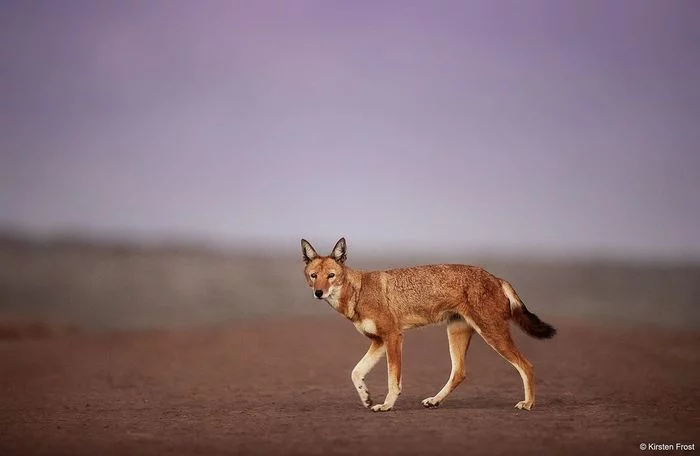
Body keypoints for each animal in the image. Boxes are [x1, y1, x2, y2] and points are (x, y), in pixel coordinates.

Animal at [300, 239, 556, 414]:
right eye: (313, 276)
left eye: (331, 275)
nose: (318, 292)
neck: (358, 291)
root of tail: (496, 277)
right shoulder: (379, 341)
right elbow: (356, 372)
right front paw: (366, 398)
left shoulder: (393, 337)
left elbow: (393, 380)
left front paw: (386, 405)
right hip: (456, 334)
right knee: (459, 372)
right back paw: (435, 400)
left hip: (492, 335)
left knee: (527, 365)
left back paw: (528, 403)